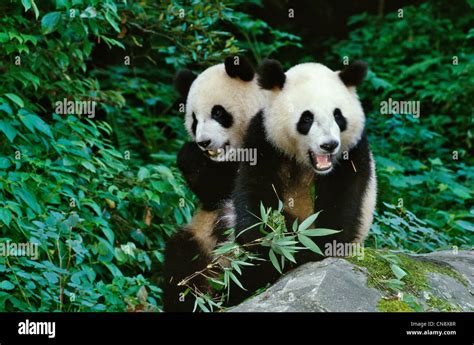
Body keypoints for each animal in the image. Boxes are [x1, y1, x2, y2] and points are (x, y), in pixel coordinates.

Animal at [163, 57, 266, 312]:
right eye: (194, 119)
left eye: (218, 112)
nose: (204, 142)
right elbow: (213, 191)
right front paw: (190, 155)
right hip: (199, 240)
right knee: (180, 260)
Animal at [230, 59, 378, 300]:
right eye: (307, 118)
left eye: (338, 115)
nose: (329, 145)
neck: (305, 162)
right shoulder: (264, 141)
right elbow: (255, 201)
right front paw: (277, 241)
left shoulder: (352, 154)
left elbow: (340, 214)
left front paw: (310, 246)